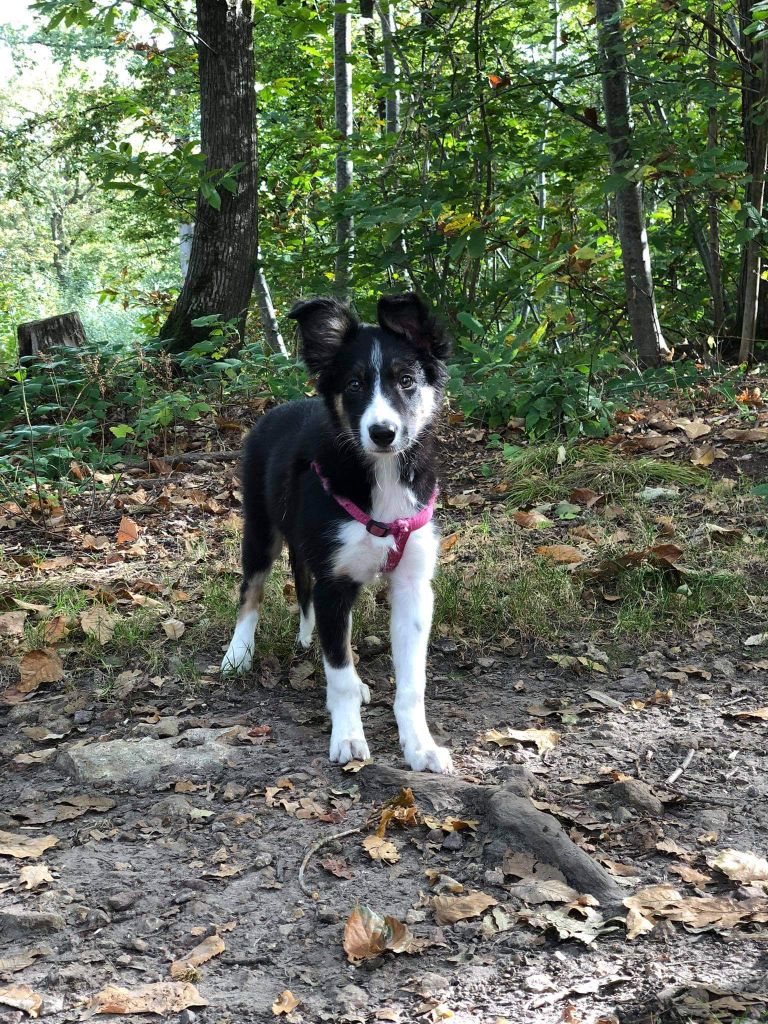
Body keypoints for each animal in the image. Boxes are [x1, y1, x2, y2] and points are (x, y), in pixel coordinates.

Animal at [219, 292, 454, 770]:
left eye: (407, 380)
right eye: (355, 385)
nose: (382, 433)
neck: (381, 475)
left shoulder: (413, 586)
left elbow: (411, 683)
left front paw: (420, 746)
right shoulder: (335, 581)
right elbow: (338, 672)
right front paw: (347, 737)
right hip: (261, 529)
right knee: (251, 589)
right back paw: (238, 653)